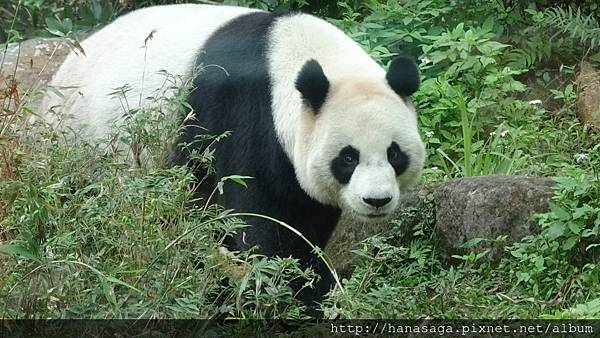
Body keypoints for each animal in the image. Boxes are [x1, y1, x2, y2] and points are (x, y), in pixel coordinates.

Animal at [41, 3, 426, 314]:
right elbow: (256, 216)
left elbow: (304, 217)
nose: (376, 200)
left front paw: (310, 286)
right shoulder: (240, 114)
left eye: (394, 153)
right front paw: (288, 291)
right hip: (84, 148)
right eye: (348, 158)